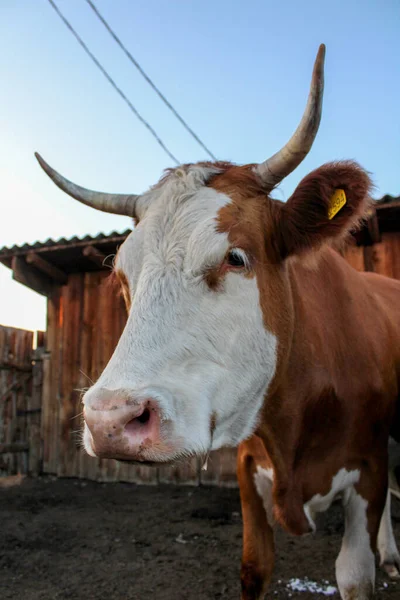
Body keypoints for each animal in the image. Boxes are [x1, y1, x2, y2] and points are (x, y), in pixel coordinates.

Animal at [35, 43, 400, 600]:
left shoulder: (368, 466)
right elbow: (254, 567)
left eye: (235, 257)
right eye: (122, 276)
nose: (110, 419)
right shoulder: (251, 470)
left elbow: (356, 574)